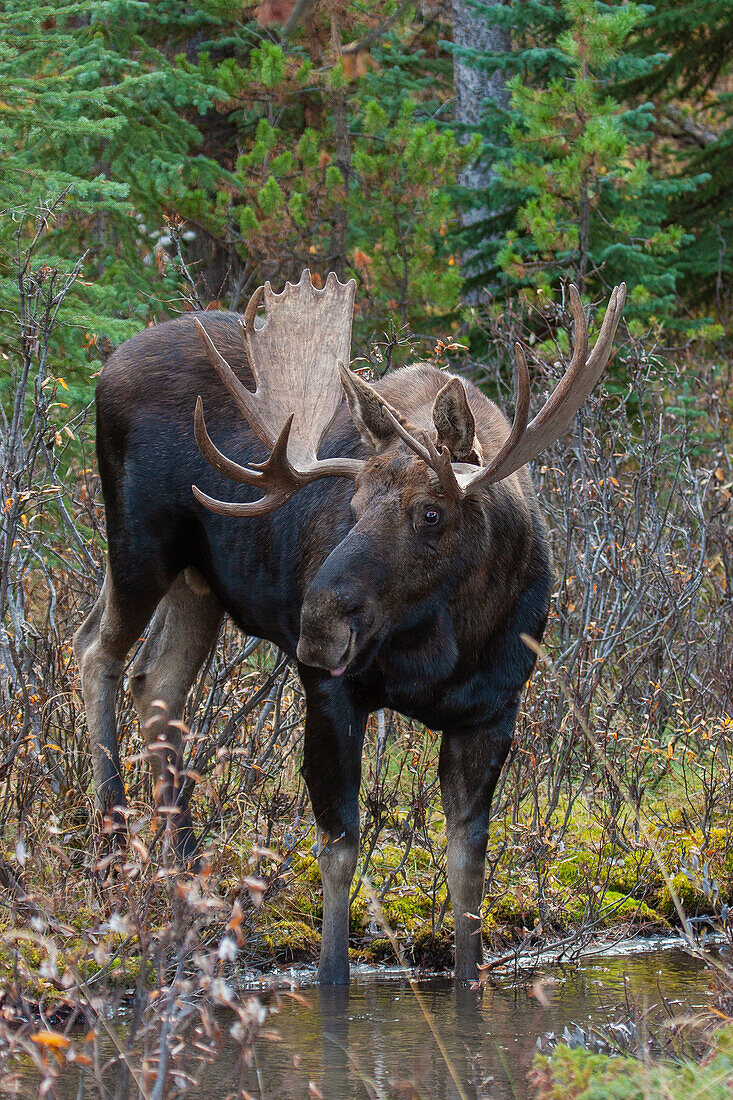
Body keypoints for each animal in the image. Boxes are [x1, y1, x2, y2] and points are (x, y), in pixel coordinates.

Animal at [72, 270, 620, 985]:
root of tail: (110, 364)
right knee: (95, 650)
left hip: (200, 583)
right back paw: (114, 843)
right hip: (140, 546)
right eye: (353, 505)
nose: (317, 626)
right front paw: (332, 980)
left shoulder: (495, 708)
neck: (448, 646)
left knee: (157, 681)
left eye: (431, 513)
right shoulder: (332, 690)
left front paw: (469, 980)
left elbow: (468, 869)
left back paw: (188, 867)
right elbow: (338, 848)